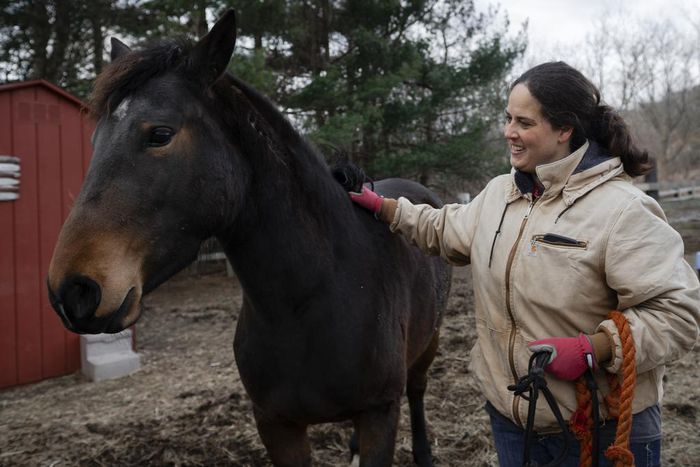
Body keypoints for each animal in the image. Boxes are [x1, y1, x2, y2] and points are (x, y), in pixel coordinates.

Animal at [47, 10, 452, 467]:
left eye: (160, 135)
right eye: (95, 140)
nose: (73, 289)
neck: (315, 298)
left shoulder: (380, 413)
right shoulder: (277, 425)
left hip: (428, 345)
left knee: (417, 390)